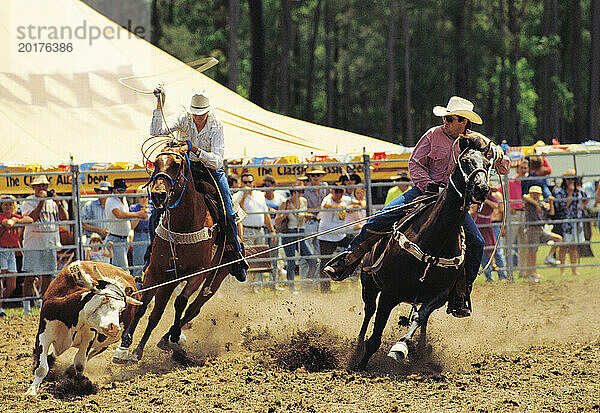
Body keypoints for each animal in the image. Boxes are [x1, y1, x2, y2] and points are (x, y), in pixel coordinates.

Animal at [27, 260, 143, 396]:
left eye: (122, 309)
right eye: (105, 298)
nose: (114, 327)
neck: (70, 316)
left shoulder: (89, 338)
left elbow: (80, 363)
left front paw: (78, 384)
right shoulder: (43, 334)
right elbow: (41, 367)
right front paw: (31, 391)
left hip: (107, 340)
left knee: (98, 349)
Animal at [115, 147, 230, 360]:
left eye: (176, 164)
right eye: (155, 163)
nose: (158, 195)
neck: (184, 224)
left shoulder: (199, 273)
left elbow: (181, 301)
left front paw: (174, 336)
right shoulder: (156, 271)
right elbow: (144, 307)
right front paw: (127, 344)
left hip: (216, 278)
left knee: (193, 308)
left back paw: (169, 338)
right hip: (170, 279)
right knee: (157, 313)